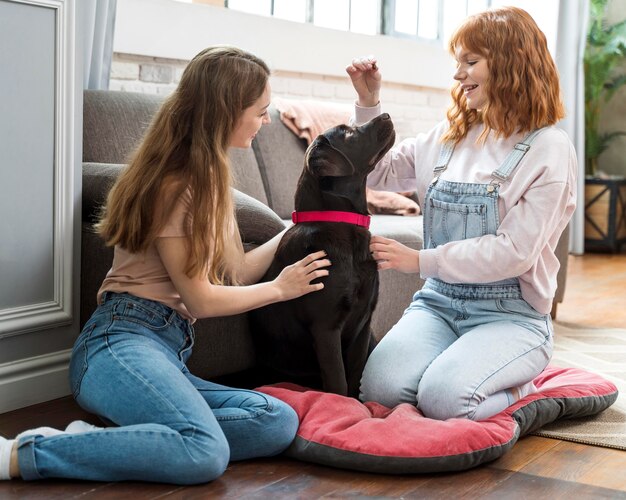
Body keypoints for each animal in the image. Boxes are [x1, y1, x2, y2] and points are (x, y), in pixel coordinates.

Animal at [250, 114, 392, 398]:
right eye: (348, 133)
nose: (386, 115)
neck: (342, 225)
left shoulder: (364, 323)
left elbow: (356, 376)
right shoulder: (325, 328)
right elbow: (338, 383)